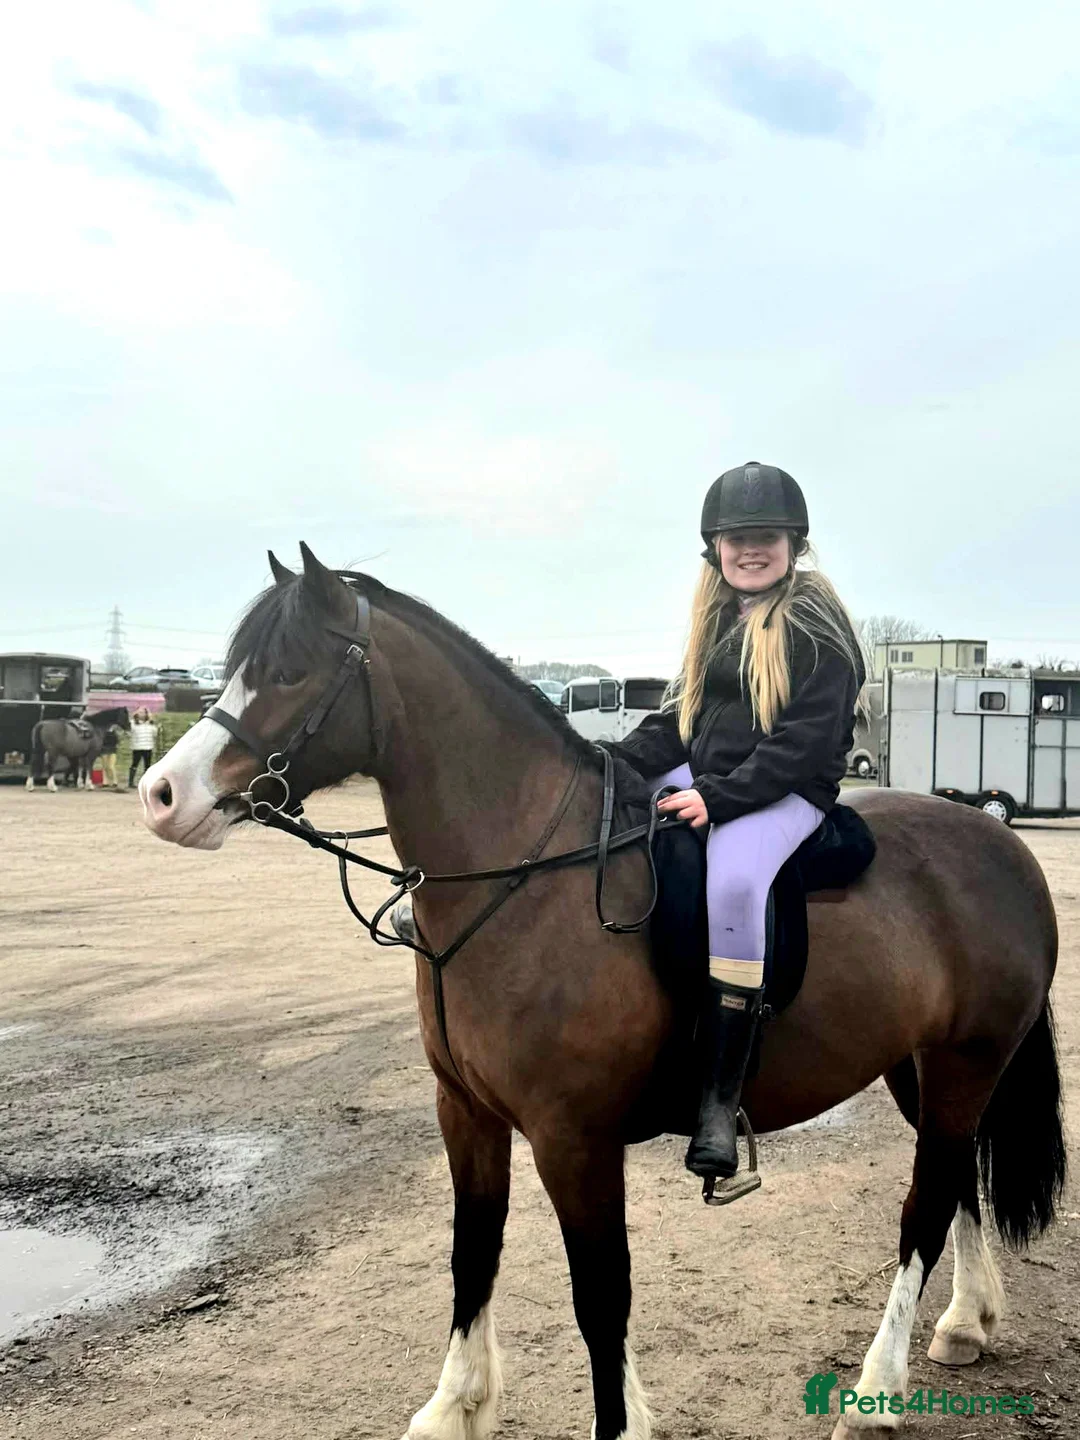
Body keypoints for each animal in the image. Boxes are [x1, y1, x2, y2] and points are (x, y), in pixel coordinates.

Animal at [138, 545, 1064, 1440]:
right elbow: (472, 1254)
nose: (161, 795)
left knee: (926, 1206)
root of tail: (1004, 846)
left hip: (965, 1065)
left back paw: (877, 1392)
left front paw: (614, 1424)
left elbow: (599, 1294)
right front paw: (454, 1408)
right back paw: (965, 1324)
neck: (526, 877)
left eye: (289, 670)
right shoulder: (465, 1113)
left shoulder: (572, 1138)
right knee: (958, 1182)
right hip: (920, 1070)